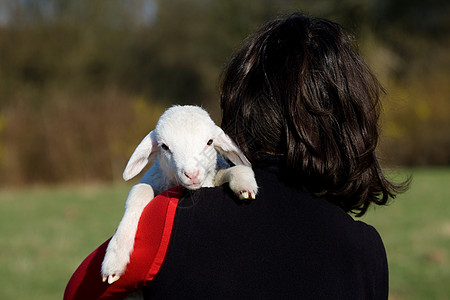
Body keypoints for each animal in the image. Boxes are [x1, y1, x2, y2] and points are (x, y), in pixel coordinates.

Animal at [101, 105, 256, 286]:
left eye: (210, 142)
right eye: (164, 146)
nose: (192, 174)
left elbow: (232, 171)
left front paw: (245, 184)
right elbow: (140, 190)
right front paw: (115, 258)